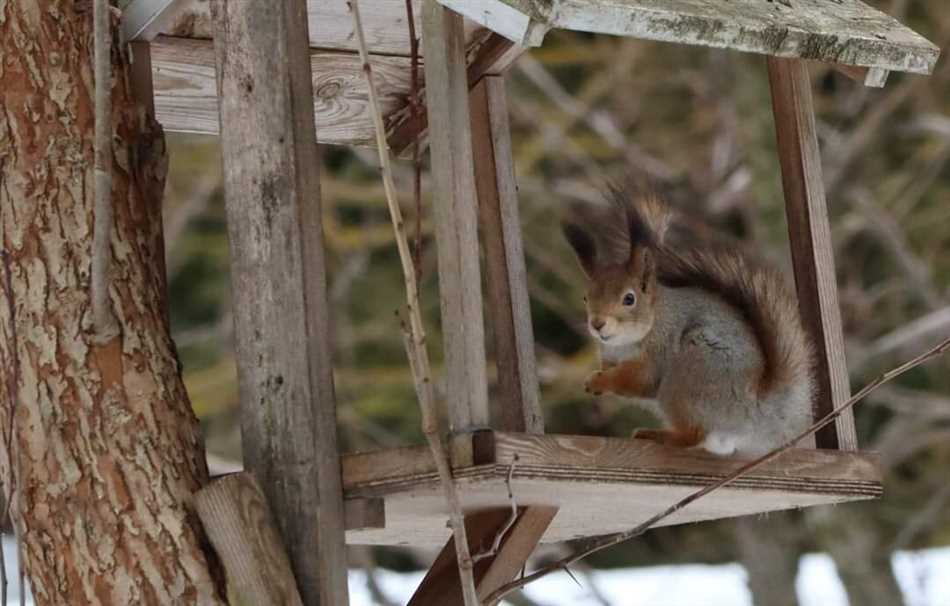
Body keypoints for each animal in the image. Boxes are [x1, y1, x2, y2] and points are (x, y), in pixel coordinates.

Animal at [564, 188, 820, 458]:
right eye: (585, 297)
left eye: (629, 299)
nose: (597, 324)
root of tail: (755, 413)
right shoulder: (610, 354)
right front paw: (599, 378)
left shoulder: (659, 350)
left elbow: (640, 380)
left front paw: (600, 381)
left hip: (689, 373)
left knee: (693, 435)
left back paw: (658, 435)